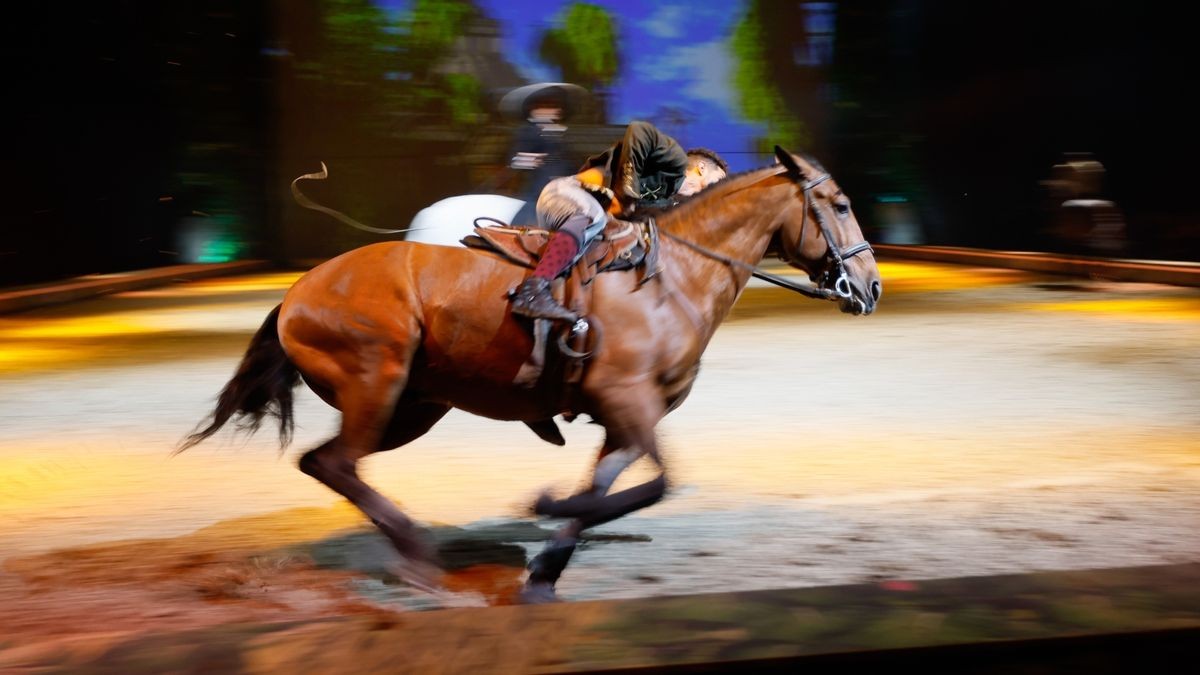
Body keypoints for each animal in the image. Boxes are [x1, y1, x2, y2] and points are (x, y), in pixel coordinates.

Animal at [182, 147, 888, 598]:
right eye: (840, 204)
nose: (871, 286)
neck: (673, 279)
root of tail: (298, 292)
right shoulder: (629, 403)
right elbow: (654, 486)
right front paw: (546, 507)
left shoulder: (626, 421)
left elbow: (605, 492)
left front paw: (546, 566)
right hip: (374, 386)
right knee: (338, 463)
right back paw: (417, 555)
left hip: (413, 406)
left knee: (327, 463)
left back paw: (414, 551)